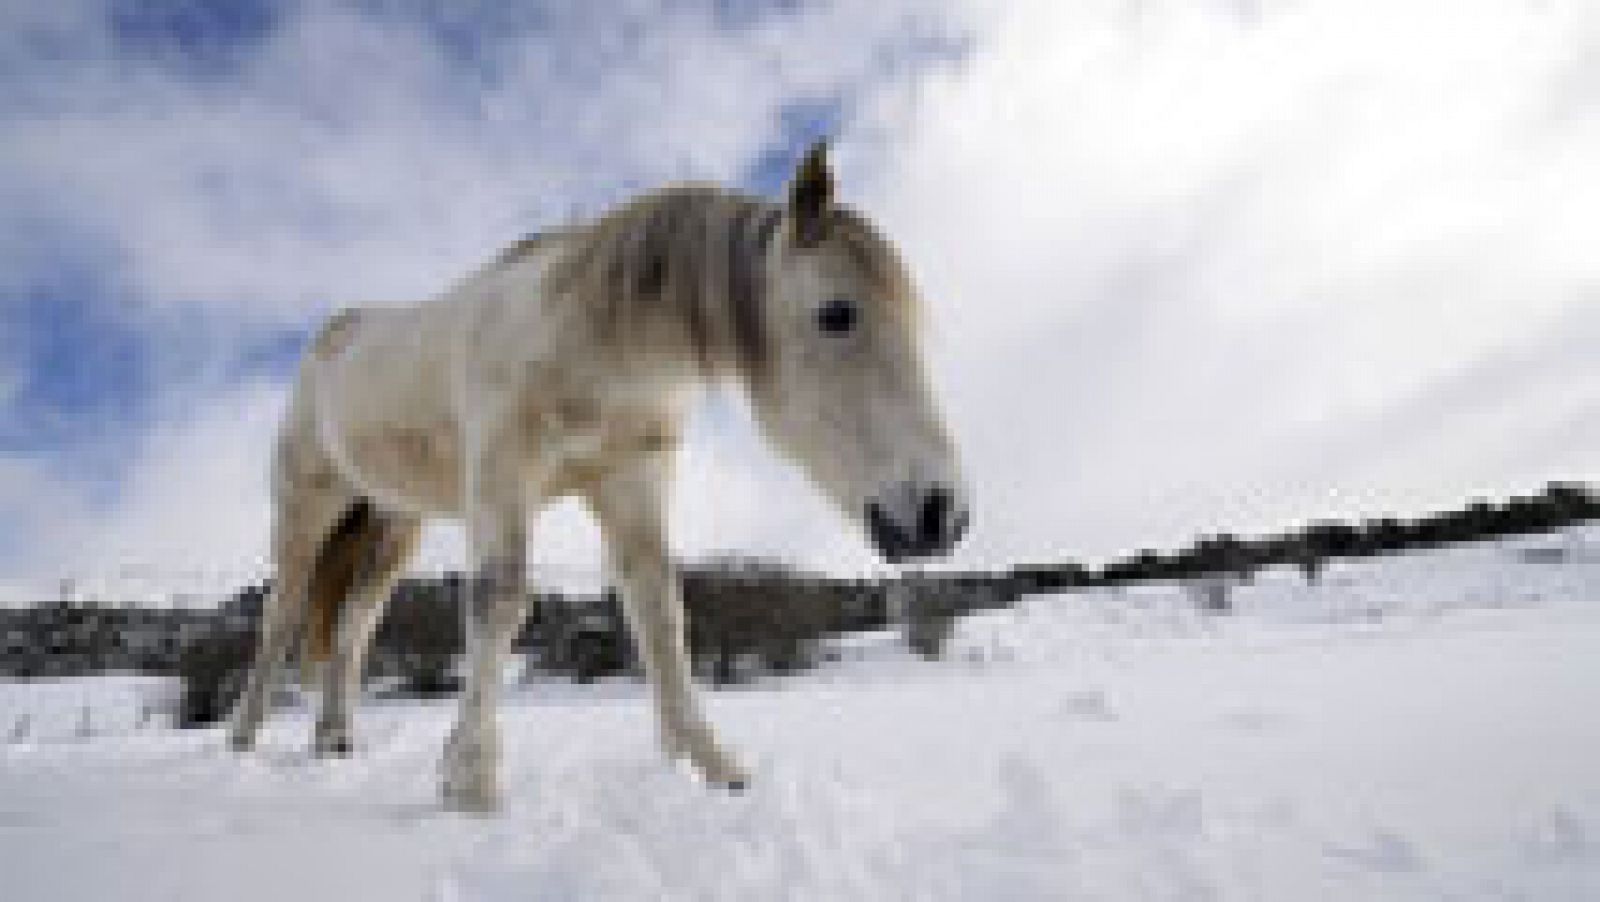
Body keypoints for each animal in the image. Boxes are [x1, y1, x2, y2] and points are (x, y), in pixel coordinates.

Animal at [230, 144, 966, 812]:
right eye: (837, 314)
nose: (942, 515)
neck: (588, 339)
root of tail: (330, 339)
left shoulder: (630, 483)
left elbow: (659, 613)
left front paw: (710, 763)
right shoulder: (502, 477)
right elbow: (499, 603)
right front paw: (470, 778)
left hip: (394, 522)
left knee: (354, 626)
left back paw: (334, 738)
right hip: (306, 509)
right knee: (281, 616)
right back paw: (243, 738)